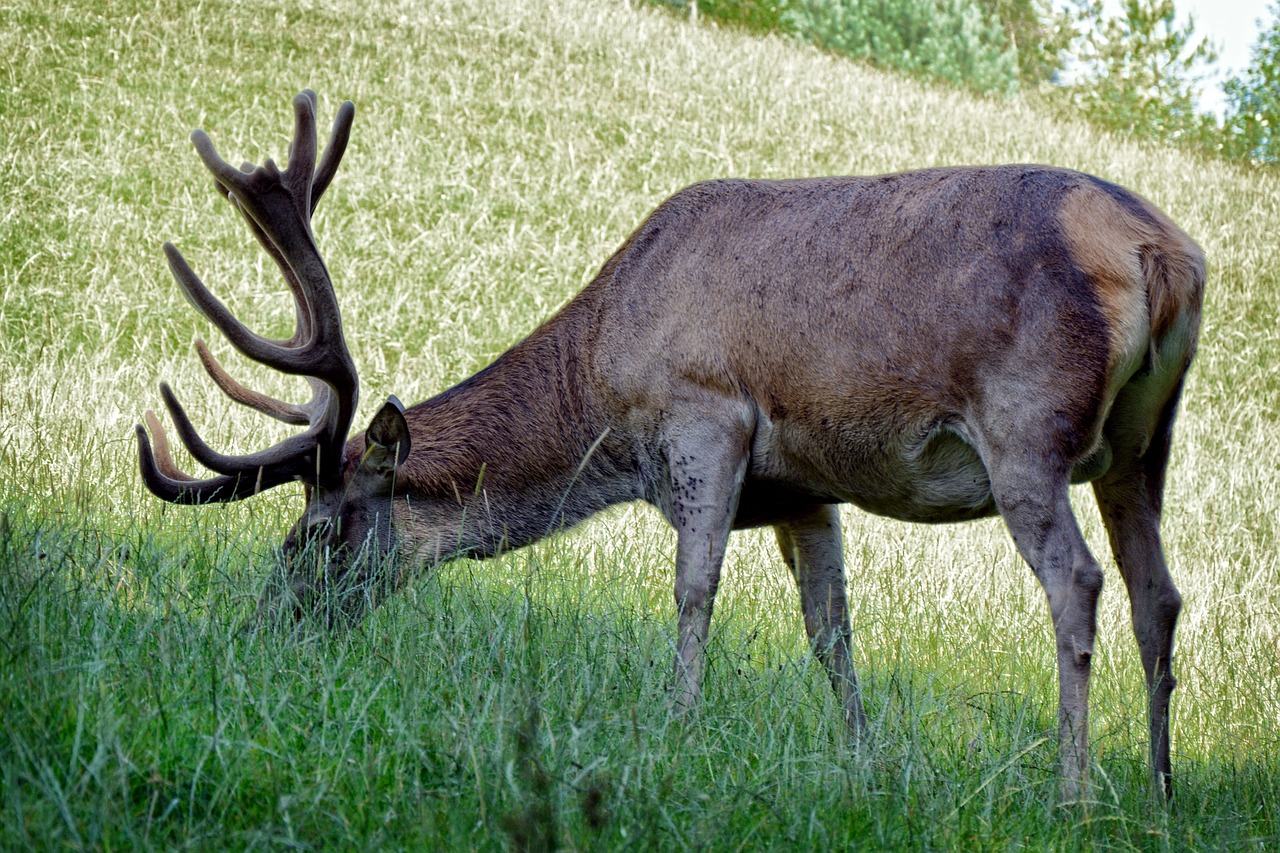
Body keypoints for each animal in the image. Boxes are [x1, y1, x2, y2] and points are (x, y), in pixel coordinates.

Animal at [137, 89, 1198, 794]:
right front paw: (861, 759)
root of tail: (1167, 257)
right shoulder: (805, 485)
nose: (260, 631)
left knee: (1078, 580)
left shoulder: (706, 412)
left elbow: (694, 587)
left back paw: (1072, 792)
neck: (605, 390)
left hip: (1027, 426)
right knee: (1158, 592)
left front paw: (675, 727)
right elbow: (831, 627)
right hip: (1145, 442)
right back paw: (1157, 791)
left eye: (314, 533)